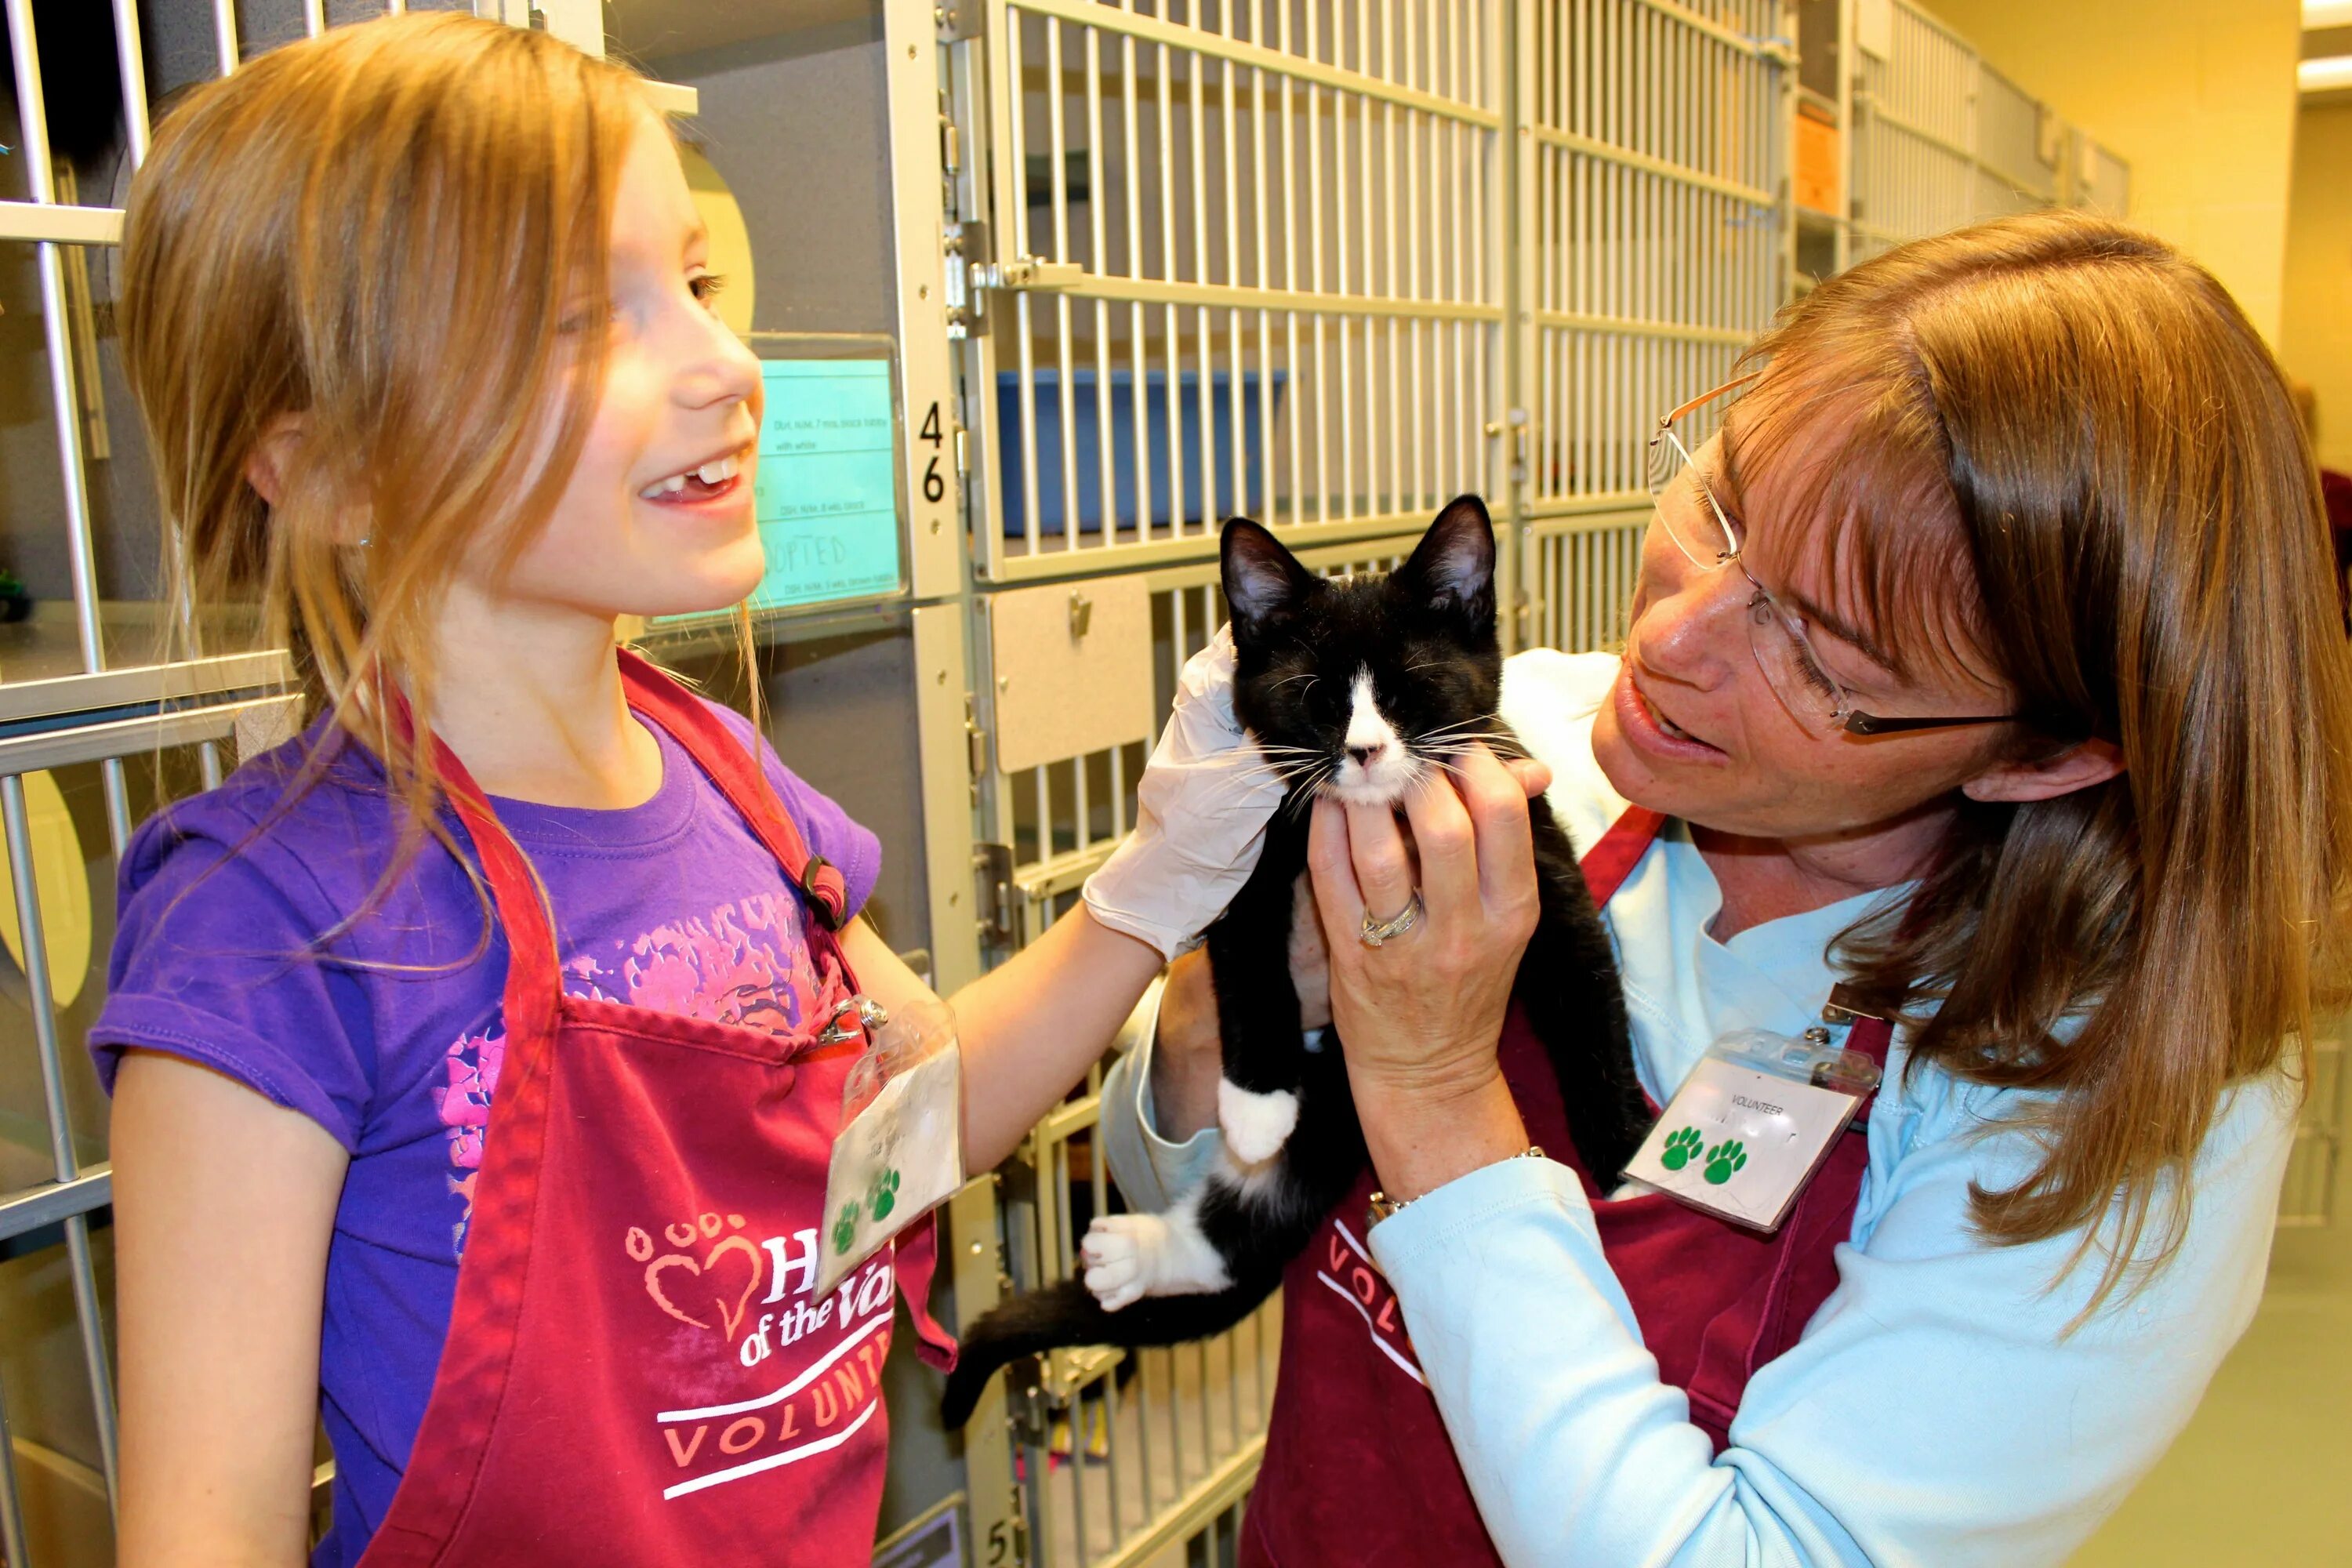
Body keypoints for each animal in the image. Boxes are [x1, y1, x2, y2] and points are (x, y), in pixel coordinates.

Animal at [927, 495, 1646, 1429]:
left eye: (1409, 688)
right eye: (1315, 696)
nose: (1367, 751)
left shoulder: (1532, 852)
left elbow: (1587, 984)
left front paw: (1625, 1157)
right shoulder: (1248, 859)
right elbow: (1248, 968)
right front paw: (1255, 1104)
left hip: (1348, 1098)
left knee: (1275, 1206)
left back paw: (1148, 1251)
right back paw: (1154, 1233)